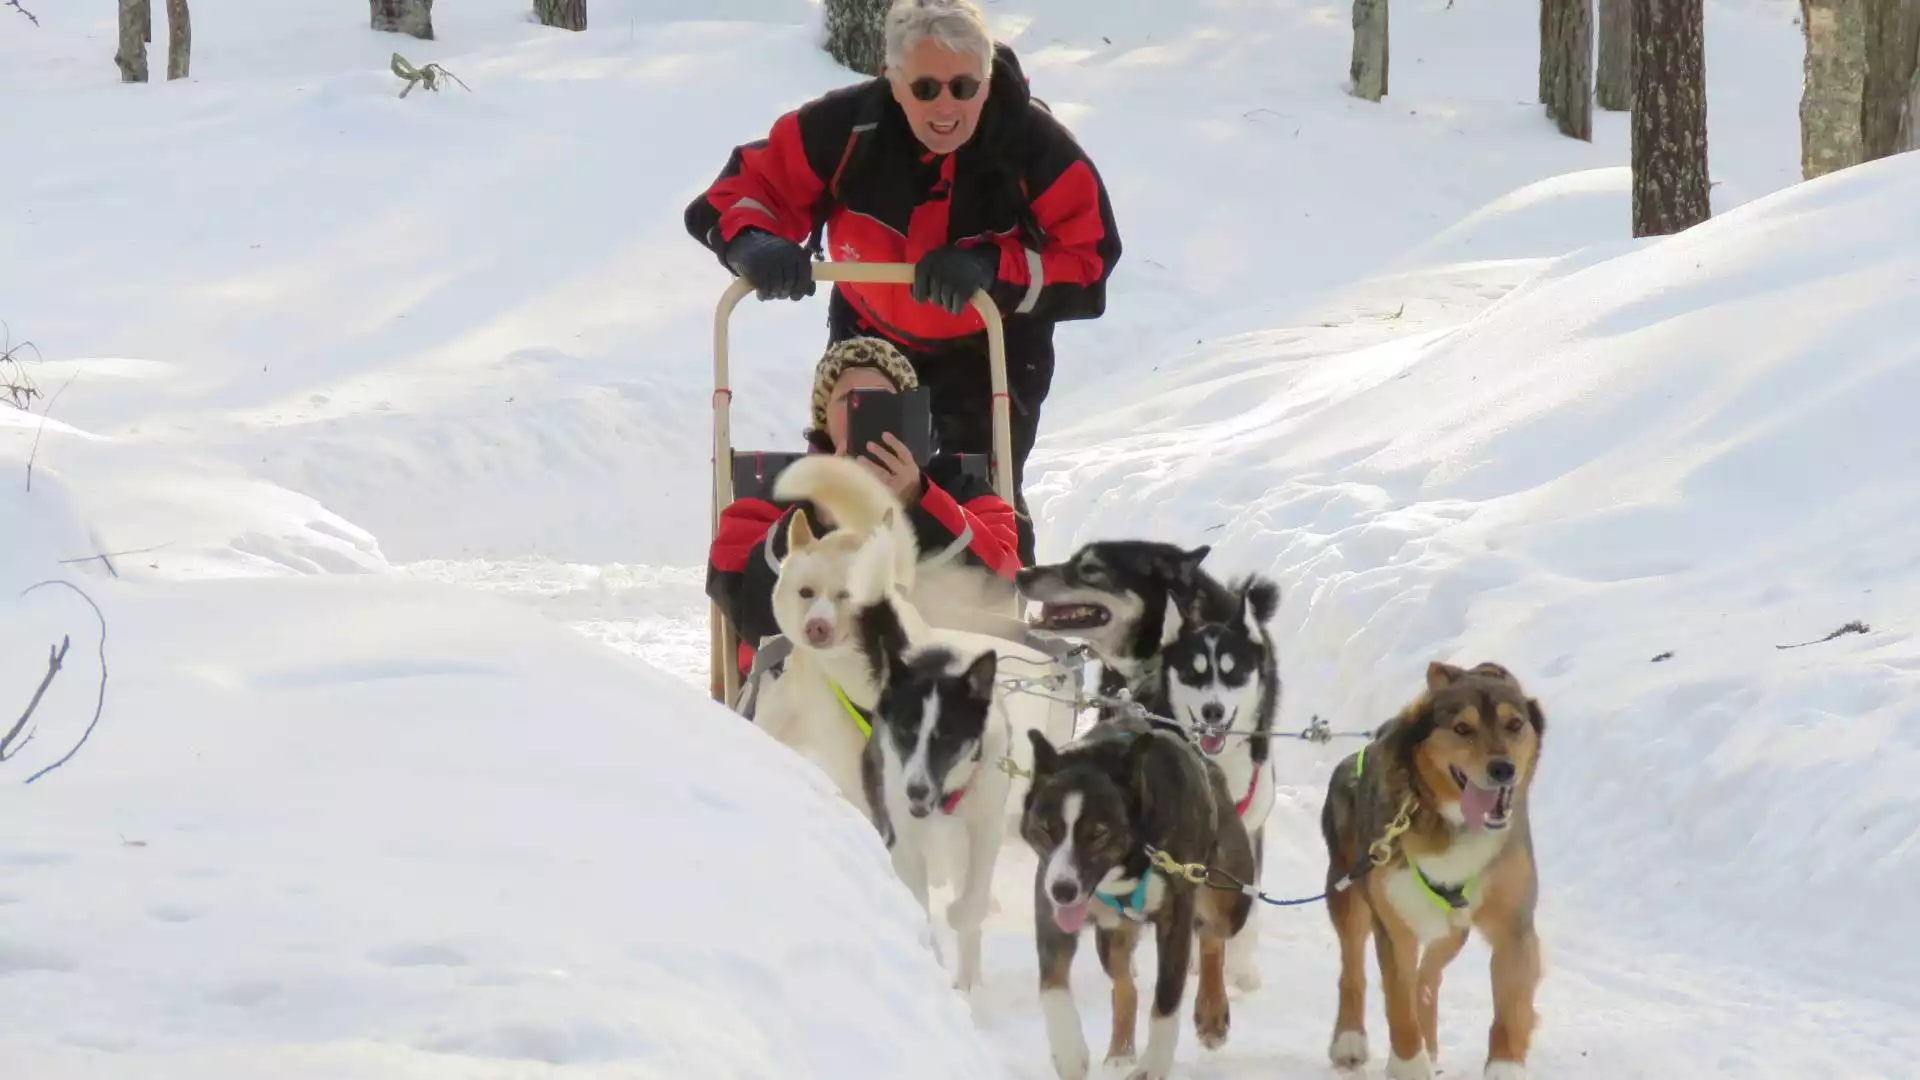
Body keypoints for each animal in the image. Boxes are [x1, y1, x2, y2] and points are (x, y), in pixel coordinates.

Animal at [1320, 657, 1543, 1076]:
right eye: (1462, 729)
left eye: (1515, 724)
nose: (1503, 769)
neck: (1452, 825)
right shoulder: (1394, 924)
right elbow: (1398, 1001)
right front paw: (1409, 1064)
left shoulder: (1513, 924)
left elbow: (1510, 1008)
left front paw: (1505, 1065)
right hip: (1347, 892)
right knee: (1353, 968)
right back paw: (1350, 1040)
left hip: (1453, 924)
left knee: (1430, 974)